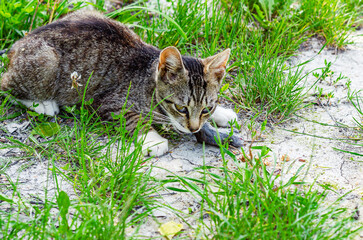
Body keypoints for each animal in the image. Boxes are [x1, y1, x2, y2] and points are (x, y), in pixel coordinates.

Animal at [1, 10, 240, 157]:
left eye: (206, 109)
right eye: (181, 108)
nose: (194, 128)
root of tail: (18, 44)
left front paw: (222, 113)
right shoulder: (108, 104)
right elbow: (134, 118)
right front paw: (153, 140)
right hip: (47, 63)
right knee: (6, 85)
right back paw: (43, 104)